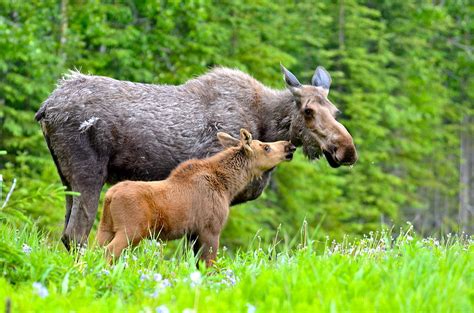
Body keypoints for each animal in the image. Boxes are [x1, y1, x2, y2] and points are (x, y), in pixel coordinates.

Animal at [35, 64, 358, 250]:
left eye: (336, 110)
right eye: (308, 111)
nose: (348, 150)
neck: (267, 123)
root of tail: (46, 107)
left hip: (66, 178)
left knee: (67, 233)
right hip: (88, 173)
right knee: (76, 234)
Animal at [97, 128, 294, 264]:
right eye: (266, 147)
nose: (289, 146)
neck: (228, 187)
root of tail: (109, 196)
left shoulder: (192, 233)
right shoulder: (211, 228)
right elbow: (209, 264)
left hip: (105, 227)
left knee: (93, 249)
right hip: (131, 230)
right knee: (108, 252)